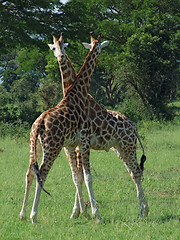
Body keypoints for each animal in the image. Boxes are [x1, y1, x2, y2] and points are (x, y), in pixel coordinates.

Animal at [49, 32, 149, 219]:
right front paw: (77, 212)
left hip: (128, 145)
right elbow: (77, 177)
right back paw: (144, 210)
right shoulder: (72, 146)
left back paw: (141, 212)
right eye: (53, 48)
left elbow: (82, 176)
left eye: (64, 46)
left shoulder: (81, 144)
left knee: (137, 171)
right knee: (134, 172)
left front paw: (84, 211)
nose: (60, 56)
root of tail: (134, 127)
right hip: (120, 148)